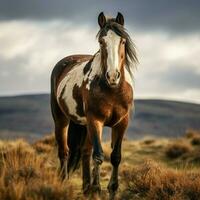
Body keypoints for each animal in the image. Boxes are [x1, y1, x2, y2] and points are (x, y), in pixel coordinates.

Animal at [50, 11, 138, 198]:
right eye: (101, 41)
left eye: (123, 41)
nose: (113, 76)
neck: (113, 89)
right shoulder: (96, 120)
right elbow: (98, 156)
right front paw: (97, 189)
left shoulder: (122, 123)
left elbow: (115, 157)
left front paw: (111, 189)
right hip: (62, 119)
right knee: (64, 151)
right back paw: (64, 183)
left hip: (85, 125)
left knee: (84, 151)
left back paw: (85, 188)